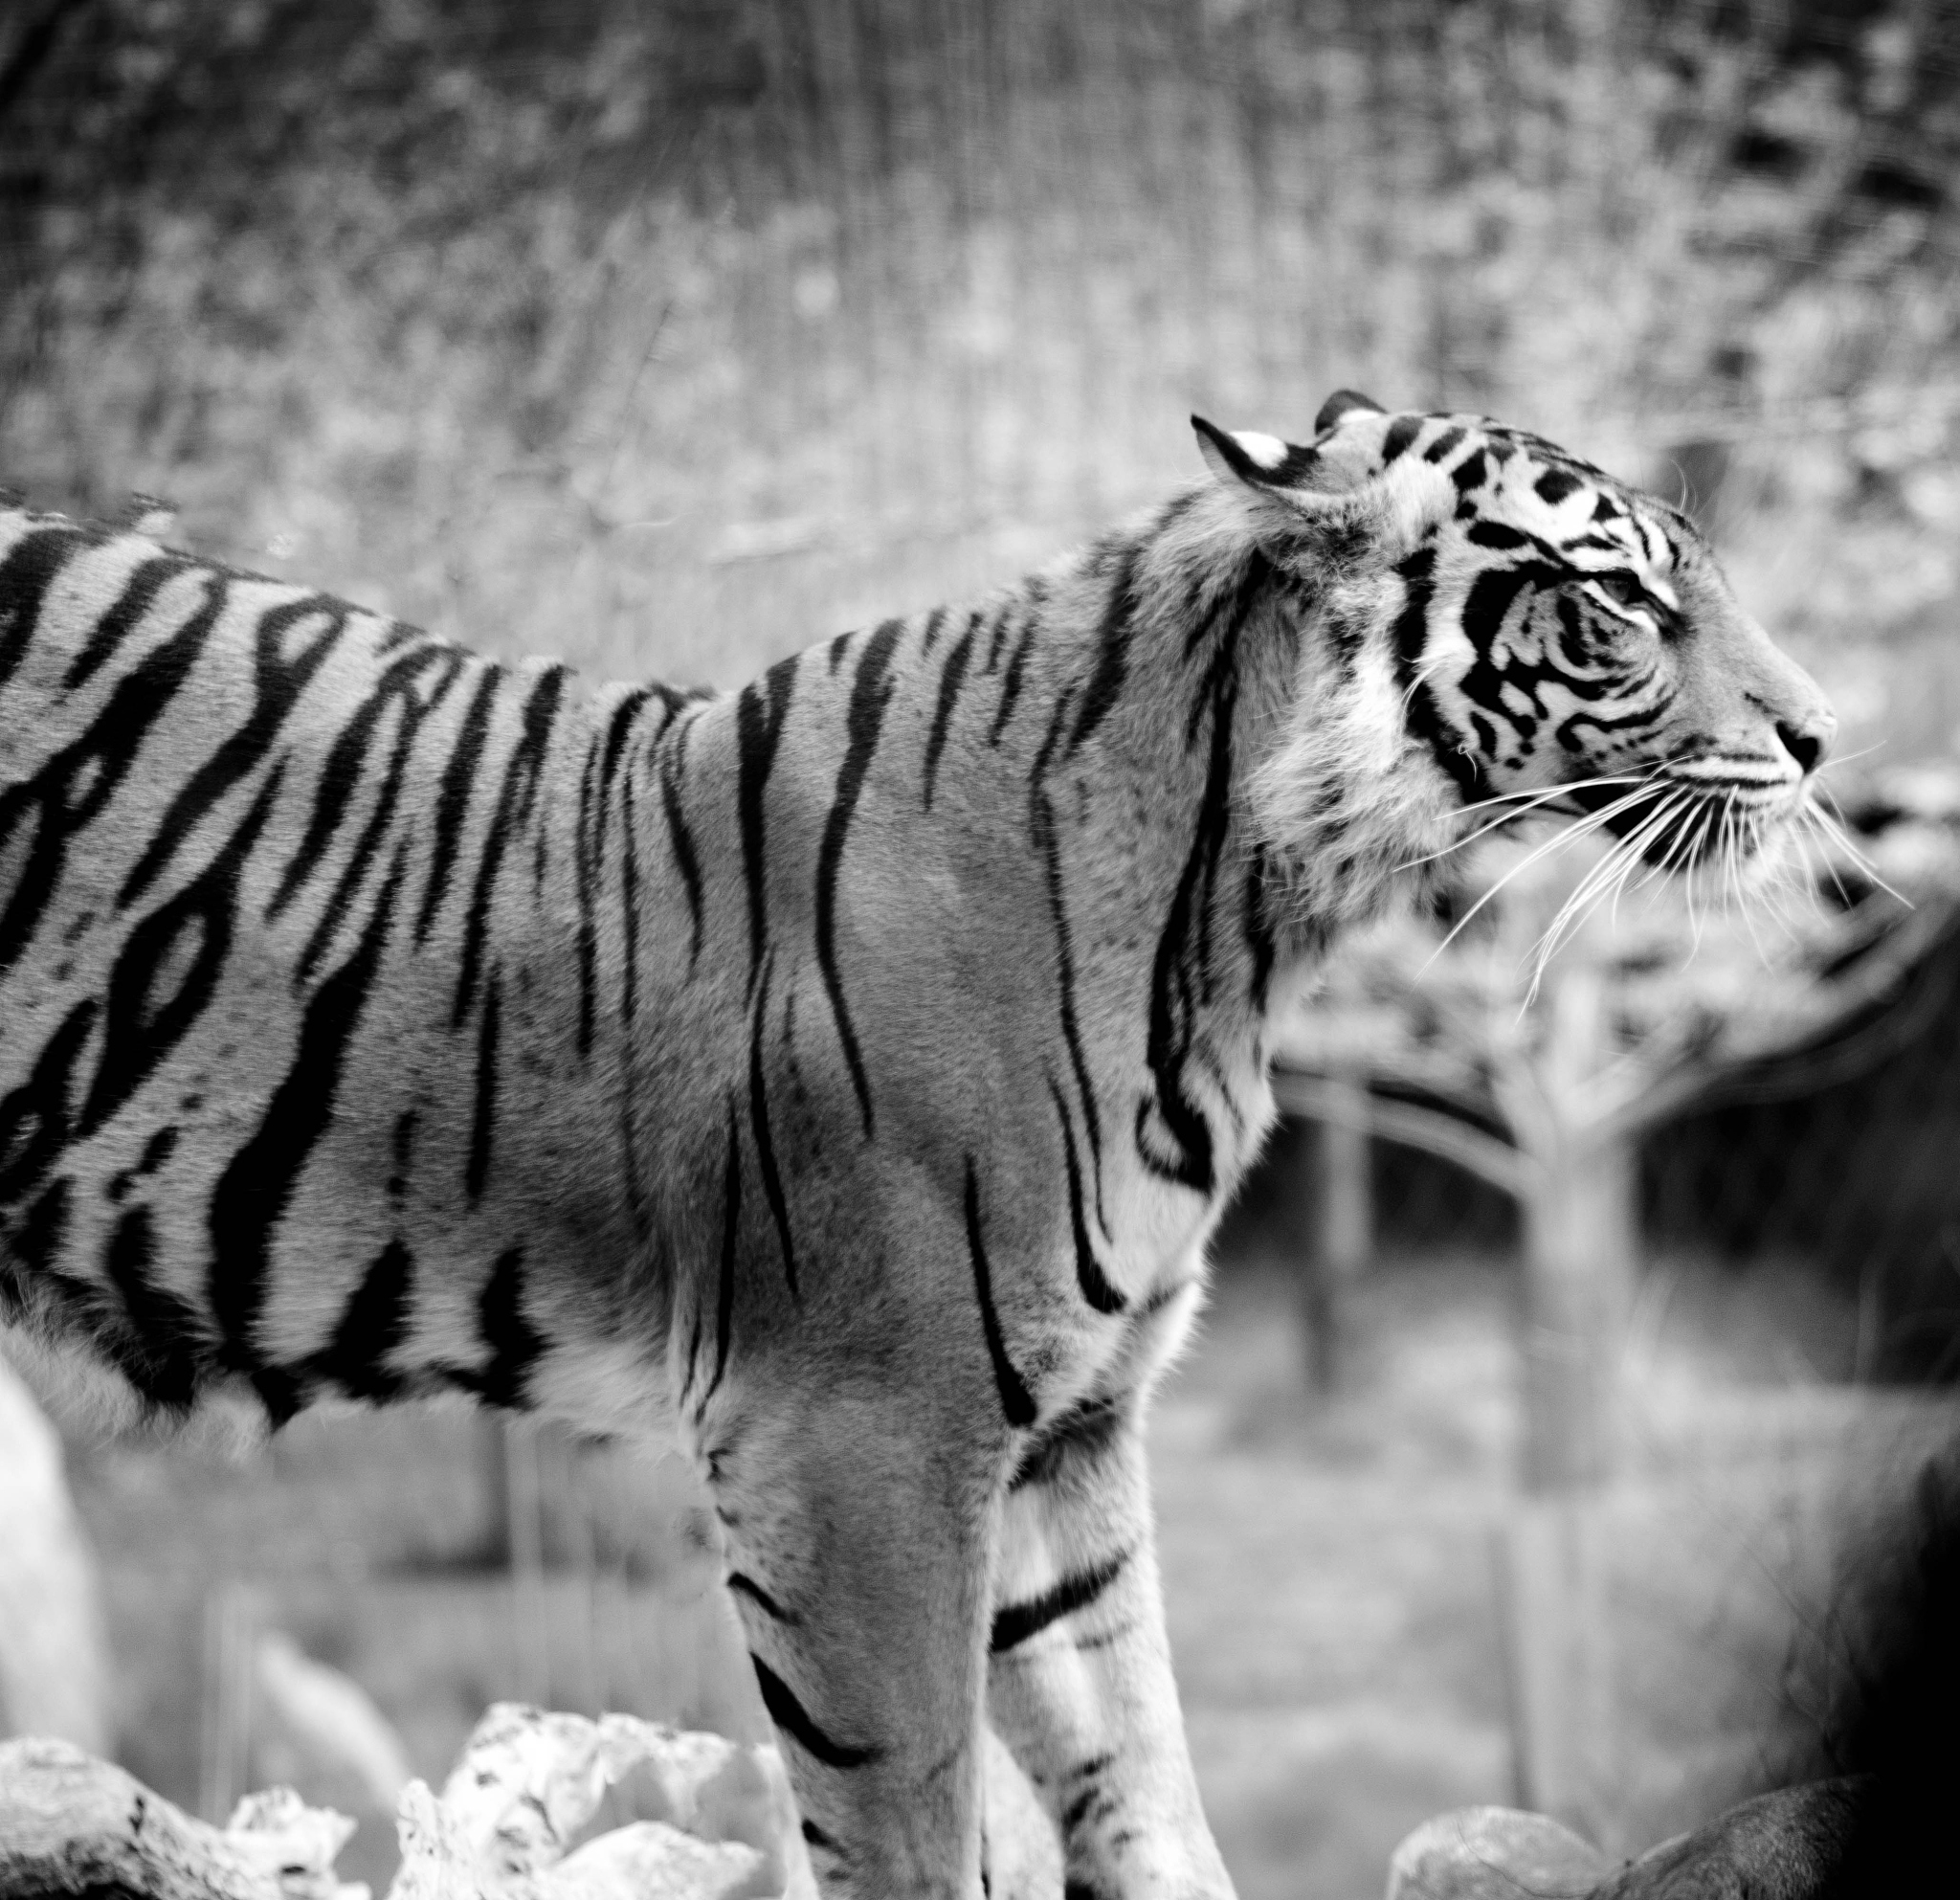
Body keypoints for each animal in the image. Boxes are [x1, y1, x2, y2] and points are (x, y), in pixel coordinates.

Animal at [0, 389, 1833, 1899]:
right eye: (1618, 600)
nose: (1819, 736)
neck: (1251, 917)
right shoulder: (861, 1435)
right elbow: (912, 1825)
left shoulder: (1066, 1433)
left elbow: (1140, 1787)